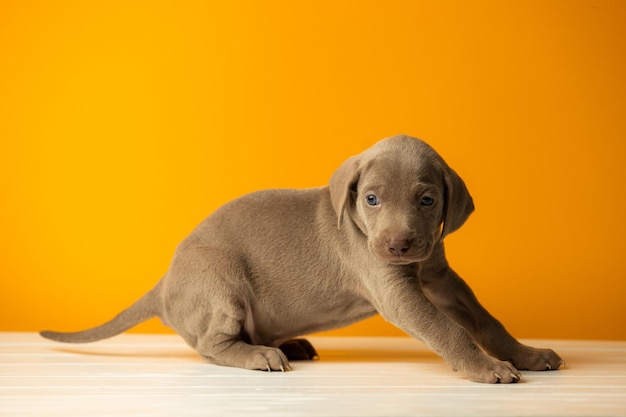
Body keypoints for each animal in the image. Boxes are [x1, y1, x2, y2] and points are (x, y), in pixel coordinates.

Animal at [41, 135, 564, 382]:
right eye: (371, 199)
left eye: (428, 200)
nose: (397, 246)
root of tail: (164, 284)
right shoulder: (395, 288)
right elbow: (447, 330)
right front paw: (486, 368)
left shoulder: (440, 276)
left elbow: (485, 320)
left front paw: (526, 354)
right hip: (219, 278)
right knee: (212, 344)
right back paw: (258, 355)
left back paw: (288, 344)